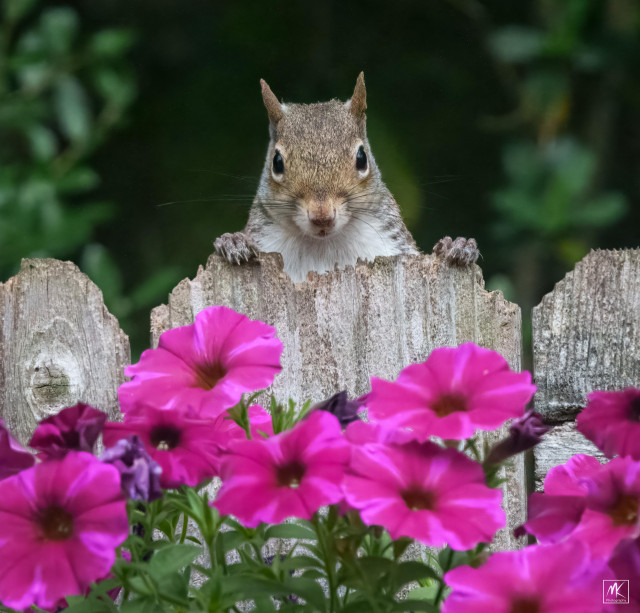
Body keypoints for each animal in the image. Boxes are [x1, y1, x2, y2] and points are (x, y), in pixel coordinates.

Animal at [214, 73, 478, 282]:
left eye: (362, 158)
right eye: (276, 162)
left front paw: (456, 247)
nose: (322, 217)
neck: (323, 246)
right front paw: (232, 242)